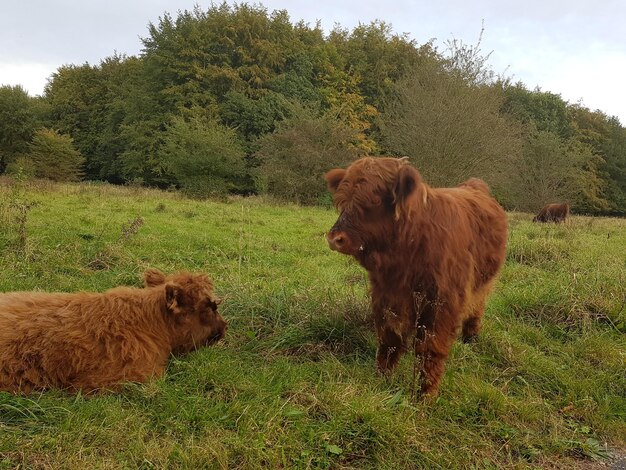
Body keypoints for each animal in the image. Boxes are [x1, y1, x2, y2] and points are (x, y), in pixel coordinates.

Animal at [324, 158, 504, 396]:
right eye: (343, 200)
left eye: (374, 200)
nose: (335, 238)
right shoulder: (385, 297)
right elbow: (389, 341)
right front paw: (382, 380)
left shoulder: (441, 304)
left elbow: (430, 350)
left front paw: (425, 394)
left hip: (483, 283)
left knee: (477, 308)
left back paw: (471, 339)